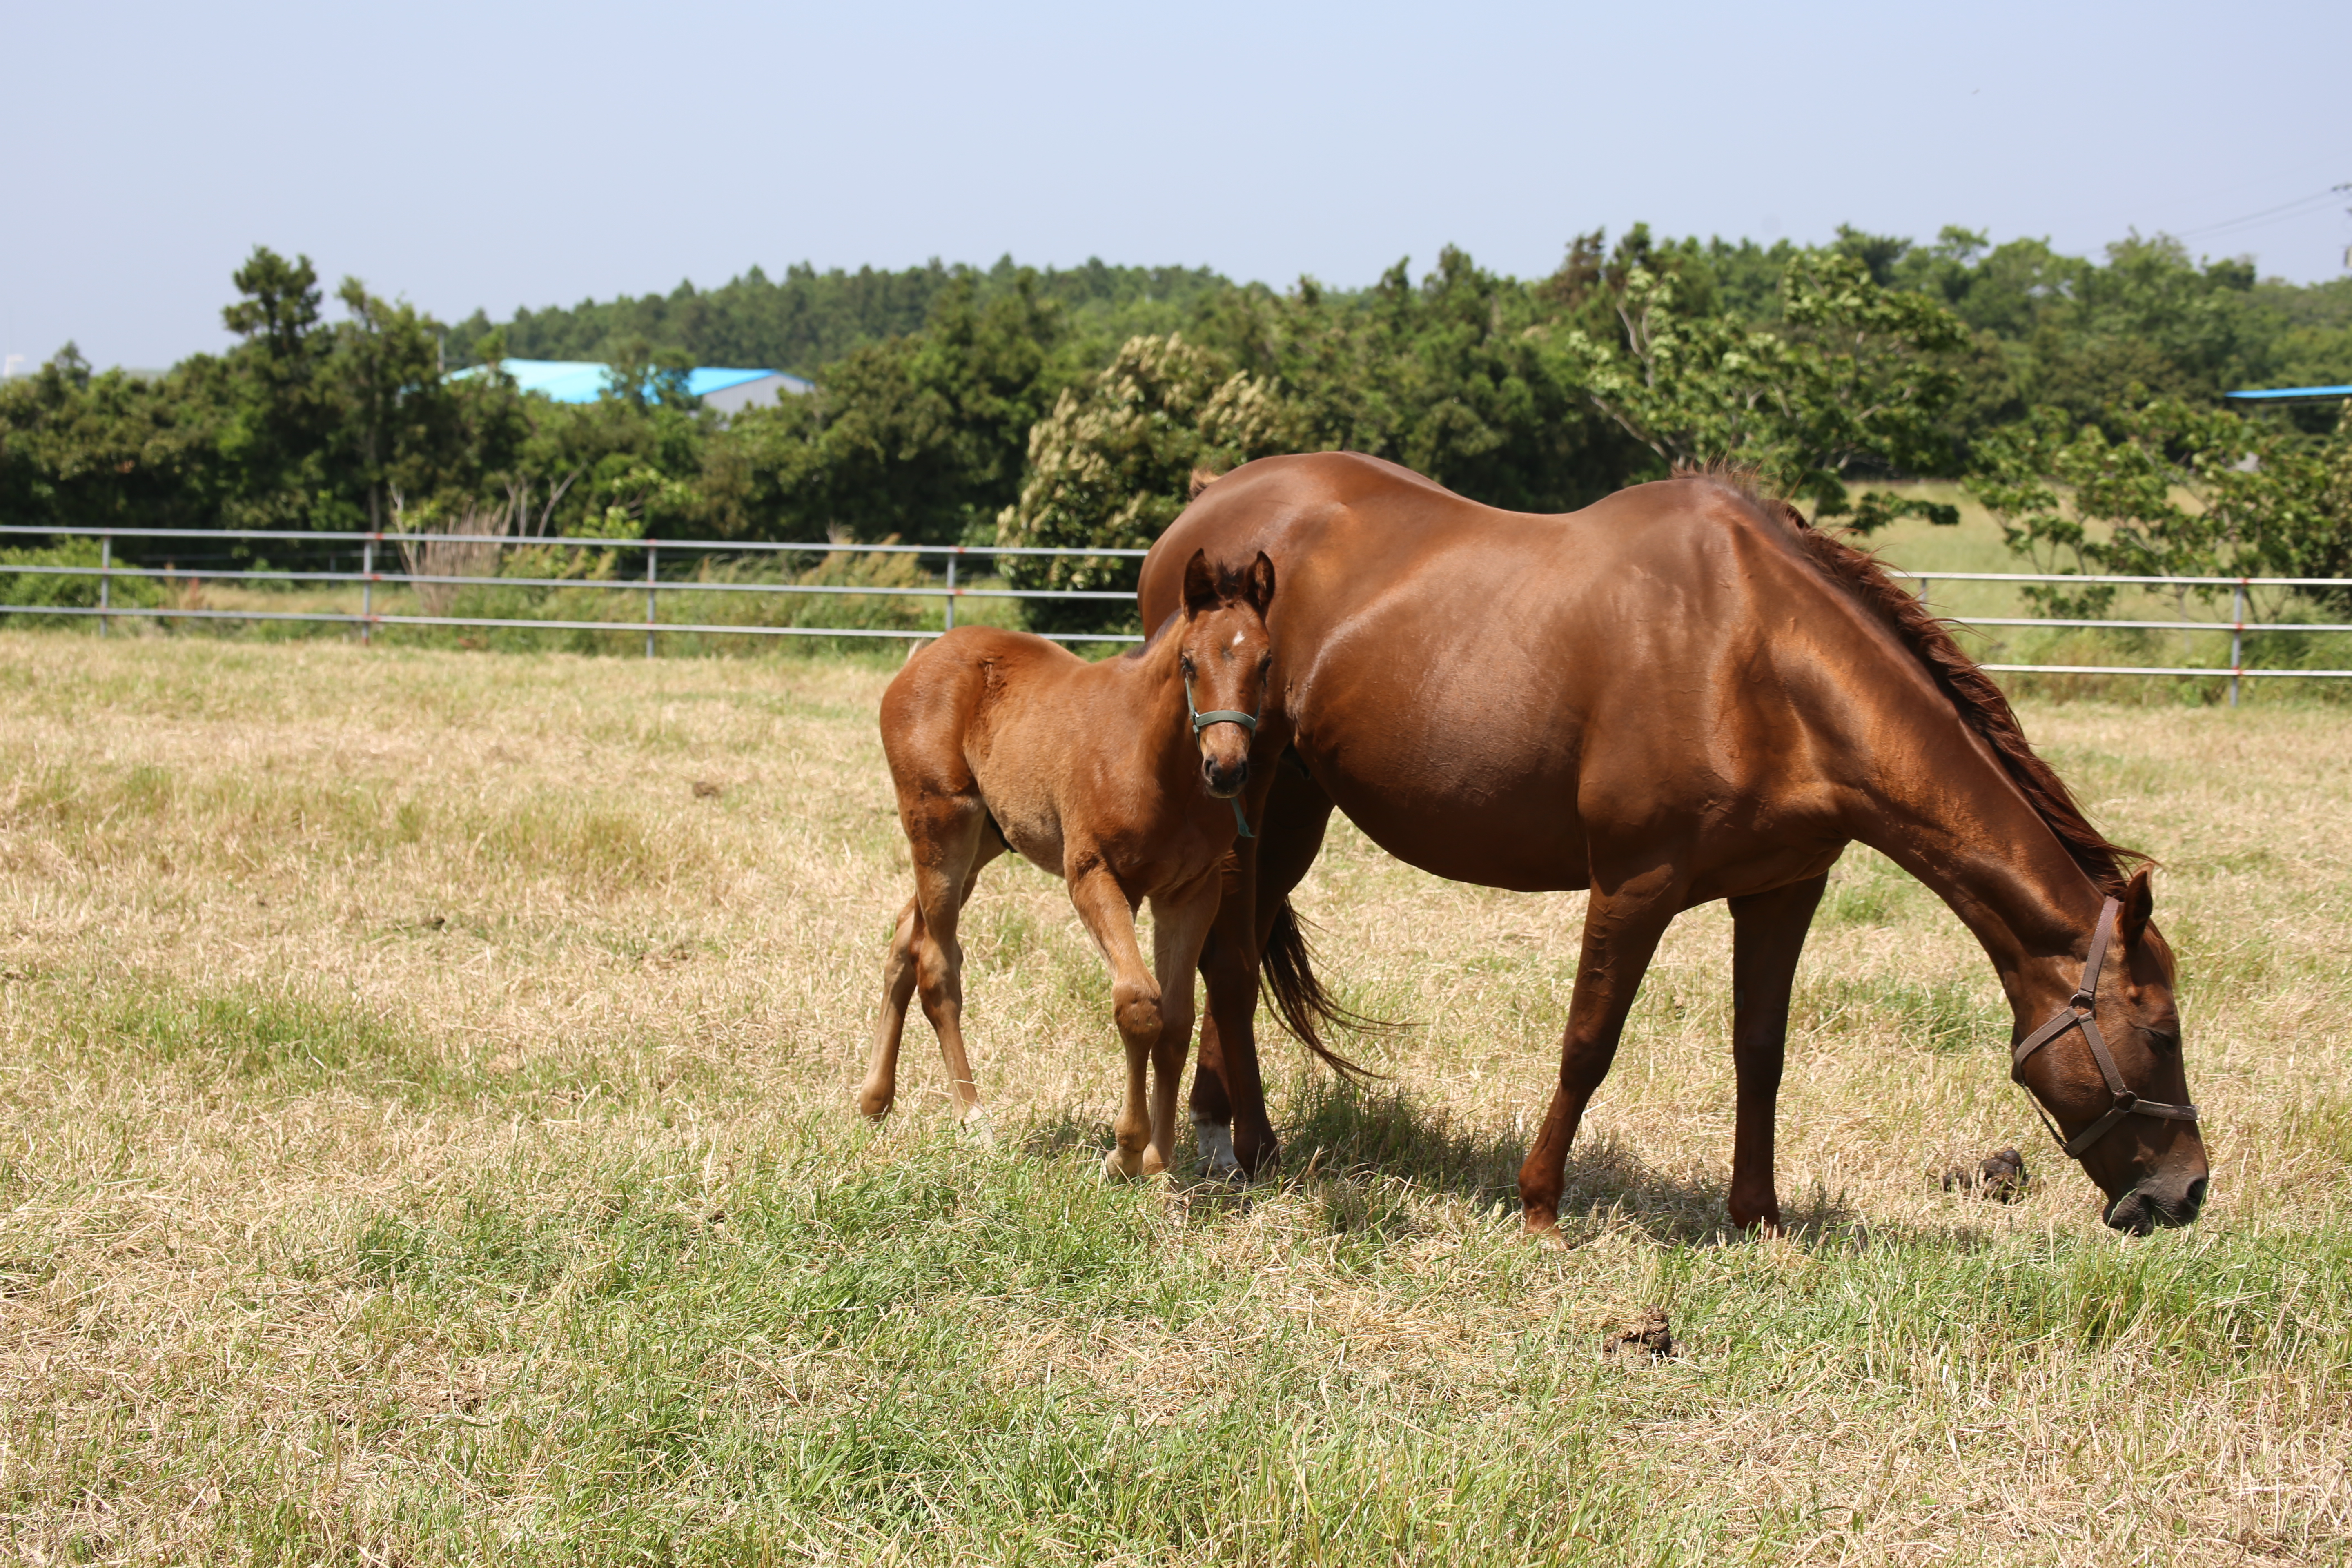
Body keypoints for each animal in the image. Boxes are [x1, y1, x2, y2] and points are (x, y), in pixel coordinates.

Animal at [865, 552, 1289, 1175]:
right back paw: (974, 1120)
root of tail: (924, 657)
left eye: (1265, 662)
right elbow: (1139, 1004)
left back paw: (874, 1099)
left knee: (904, 936)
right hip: (942, 830)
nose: (1227, 769)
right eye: (1188, 662)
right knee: (938, 967)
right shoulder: (1094, 877)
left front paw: (1160, 1162)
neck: (1153, 761)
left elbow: (1177, 1019)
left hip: (984, 841)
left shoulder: (1190, 893)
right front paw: (1127, 1152)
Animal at [1138, 451, 2201, 1241]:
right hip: (1245, 793)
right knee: (1229, 964)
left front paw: (1758, 1216)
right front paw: (1539, 1205)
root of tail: (1208, 504)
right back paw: (1250, 1149)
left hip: (1294, 806)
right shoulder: (1633, 884)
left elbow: (1760, 1051)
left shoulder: (1784, 891)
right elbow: (1588, 1042)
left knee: (1238, 954)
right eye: (2159, 1032)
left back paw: (1222, 1129)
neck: (1756, 654)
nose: (2184, 1192)